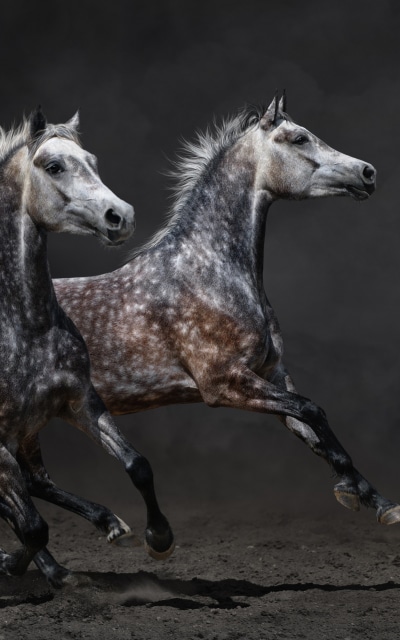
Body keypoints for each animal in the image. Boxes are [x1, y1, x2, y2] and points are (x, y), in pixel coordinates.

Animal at [0, 109, 174, 588]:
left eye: (92, 161)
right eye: (54, 165)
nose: (121, 216)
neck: (27, 328)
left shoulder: (80, 402)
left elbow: (138, 465)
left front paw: (158, 538)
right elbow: (32, 526)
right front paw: (20, 565)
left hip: (29, 433)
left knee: (37, 483)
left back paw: (103, 528)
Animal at [54, 93, 400, 526]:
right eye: (300, 138)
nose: (368, 173)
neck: (211, 273)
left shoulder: (272, 375)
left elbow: (312, 430)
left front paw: (378, 502)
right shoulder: (224, 383)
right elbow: (314, 411)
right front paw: (351, 490)